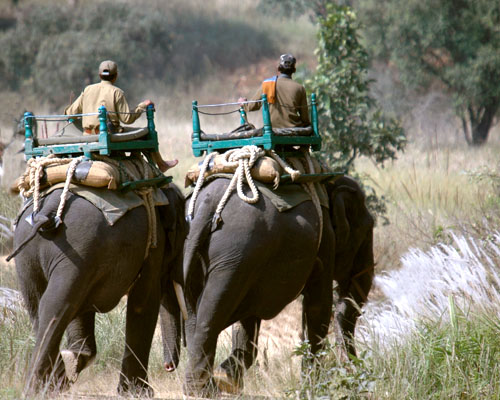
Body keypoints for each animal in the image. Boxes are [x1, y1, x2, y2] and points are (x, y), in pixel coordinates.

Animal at [8, 183, 188, 396]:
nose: (168, 367)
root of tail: (48, 211)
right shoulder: (153, 244)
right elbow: (144, 303)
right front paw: (139, 392)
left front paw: (76, 359)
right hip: (78, 245)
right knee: (58, 305)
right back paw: (44, 387)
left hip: (31, 254)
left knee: (41, 305)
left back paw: (54, 383)